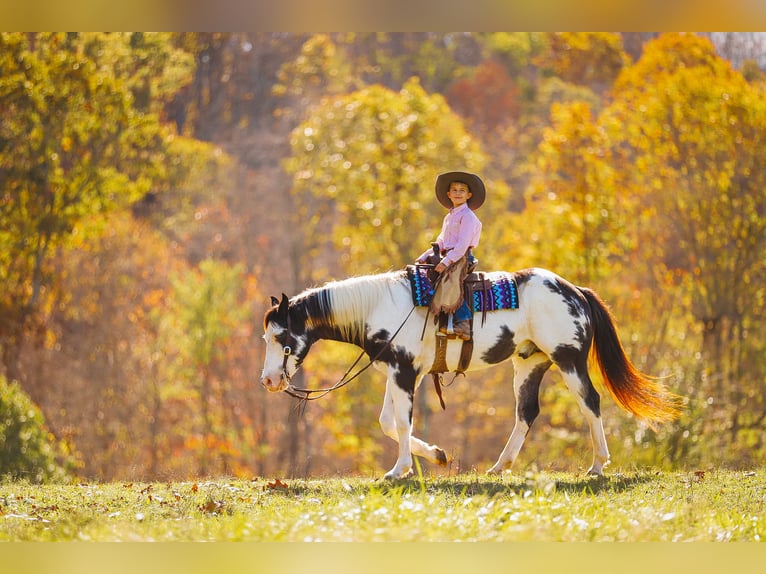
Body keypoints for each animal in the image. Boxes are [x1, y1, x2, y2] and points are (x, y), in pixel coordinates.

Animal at [260, 268, 680, 480]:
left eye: (280, 337)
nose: (268, 381)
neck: (378, 307)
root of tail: (574, 289)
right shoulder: (401, 371)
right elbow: (388, 422)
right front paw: (437, 456)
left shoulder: (403, 371)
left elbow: (401, 421)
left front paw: (399, 471)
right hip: (529, 363)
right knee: (526, 413)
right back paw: (499, 466)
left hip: (569, 360)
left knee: (590, 402)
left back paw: (597, 465)